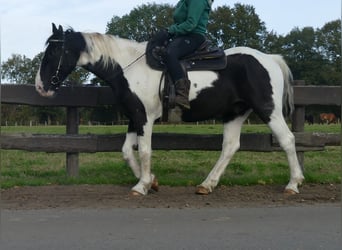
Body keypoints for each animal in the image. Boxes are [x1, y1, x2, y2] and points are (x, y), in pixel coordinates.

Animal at [35, 23, 304, 195]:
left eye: (55, 50)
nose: (40, 86)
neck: (128, 67)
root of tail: (270, 59)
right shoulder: (135, 116)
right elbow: (127, 151)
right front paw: (151, 181)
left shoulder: (144, 118)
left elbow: (144, 151)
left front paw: (141, 186)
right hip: (235, 113)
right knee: (230, 147)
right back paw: (207, 184)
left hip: (268, 109)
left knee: (287, 140)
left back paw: (293, 184)